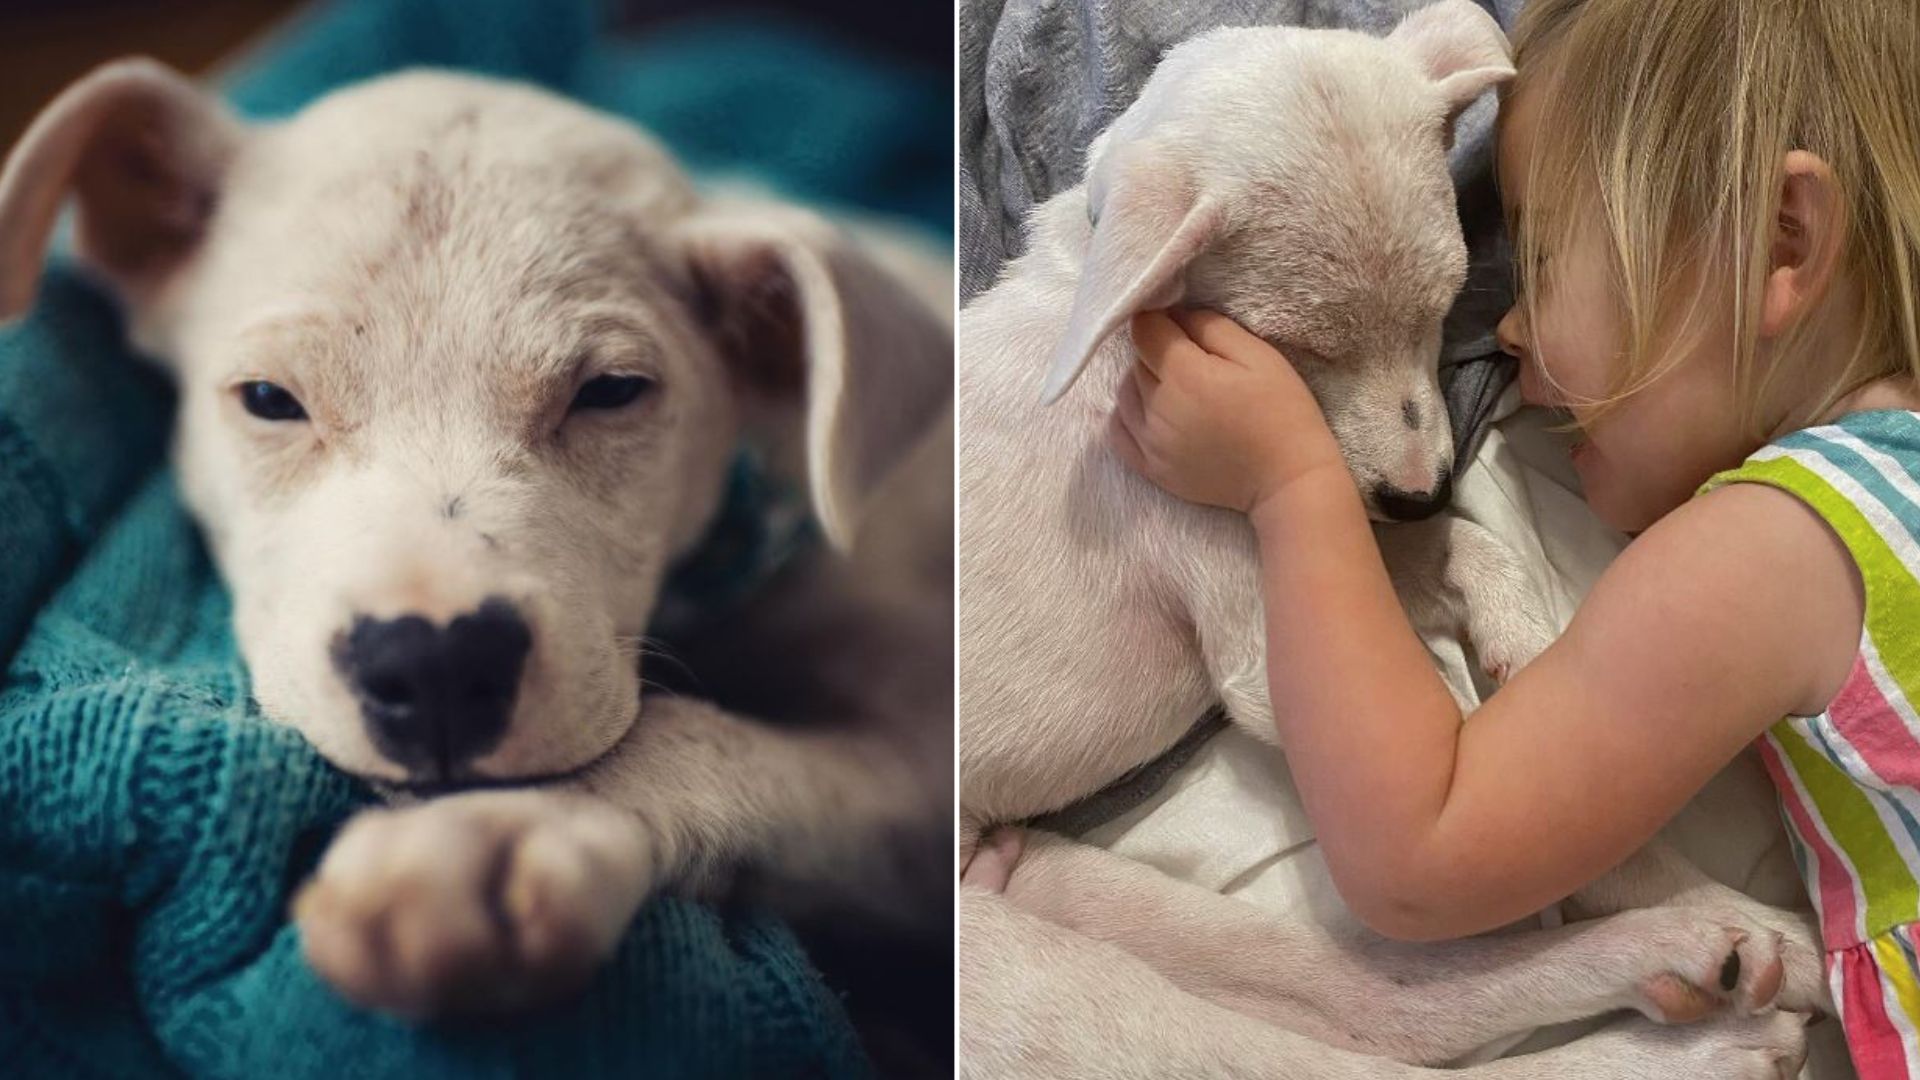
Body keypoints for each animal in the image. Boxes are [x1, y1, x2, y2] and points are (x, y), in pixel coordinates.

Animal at [0, 58, 956, 1022]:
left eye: (611, 392)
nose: (436, 666)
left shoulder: (924, 746)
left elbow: (711, 738)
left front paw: (502, 832)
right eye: (269, 399)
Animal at [967, 4, 1820, 1068]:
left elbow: (1470, 551)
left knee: (1391, 998)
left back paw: (1717, 951)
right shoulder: (1265, 646)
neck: (1118, 312)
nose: (1418, 494)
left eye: (1443, 304)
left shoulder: (1339, 548)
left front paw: (1523, 644)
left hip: (1062, 885)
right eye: (1299, 347)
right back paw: (1706, 1004)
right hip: (1036, 989)